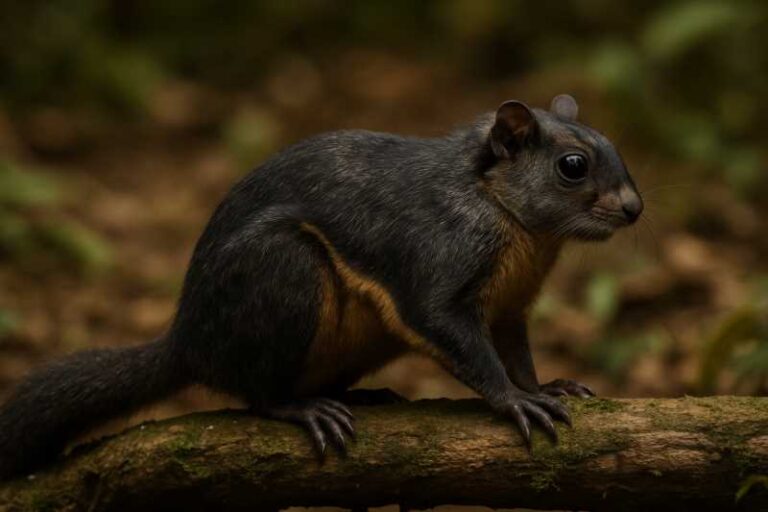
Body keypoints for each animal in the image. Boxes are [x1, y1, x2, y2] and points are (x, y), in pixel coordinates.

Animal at [0, 94, 642, 479]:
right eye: (572, 165)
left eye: (612, 143)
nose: (635, 209)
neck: (519, 228)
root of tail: (189, 341)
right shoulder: (442, 254)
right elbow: (456, 335)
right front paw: (514, 400)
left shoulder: (511, 305)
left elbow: (515, 350)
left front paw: (547, 385)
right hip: (283, 272)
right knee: (255, 392)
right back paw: (302, 407)